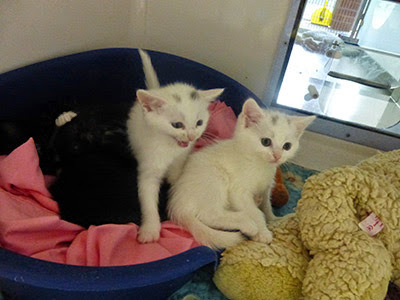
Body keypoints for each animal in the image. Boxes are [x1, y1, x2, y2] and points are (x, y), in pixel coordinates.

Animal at [126, 50, 223, 244]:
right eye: (177, 125)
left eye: (199, 122)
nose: (192, 136)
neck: (170, 147)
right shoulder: (149, 164)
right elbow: (147, 196)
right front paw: (150, 230)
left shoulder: (182, 156)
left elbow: (177, 173)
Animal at [167, 98, 314, 248]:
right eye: (266, 141)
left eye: (287, 146)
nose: (277, 156)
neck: (260, 165)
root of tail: (177, 204)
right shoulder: (238, 191)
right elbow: (256, 212)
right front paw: (262, 232)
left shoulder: (266, 187)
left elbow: (266, 206)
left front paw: (275, 220)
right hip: (215, 177)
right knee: (209, 214)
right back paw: (247, 224)